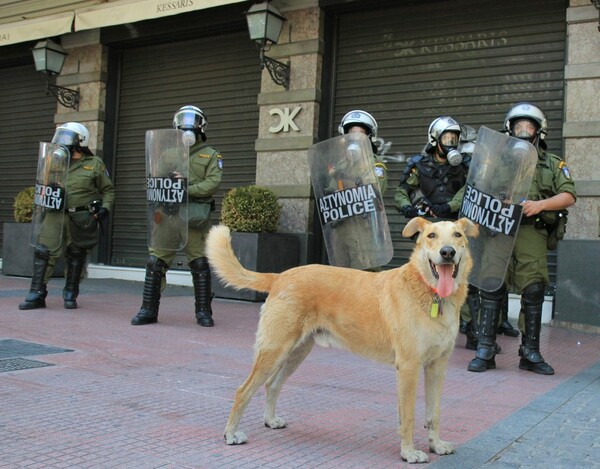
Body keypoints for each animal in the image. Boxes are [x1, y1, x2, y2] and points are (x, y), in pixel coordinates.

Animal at [206, 218, 478, 462]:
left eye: (457, 235)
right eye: (431, 236)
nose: (447, 252)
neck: (431, 294)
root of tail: (280, 276)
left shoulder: (436, 368)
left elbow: (434, 413)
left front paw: (436, 445)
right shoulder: (409, 367)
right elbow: (408, 417)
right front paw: (409, 453)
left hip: (296, 352)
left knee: (272, 385)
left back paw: (270, 420)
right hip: (275, 350)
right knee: (243, 390)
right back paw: (231, 434)